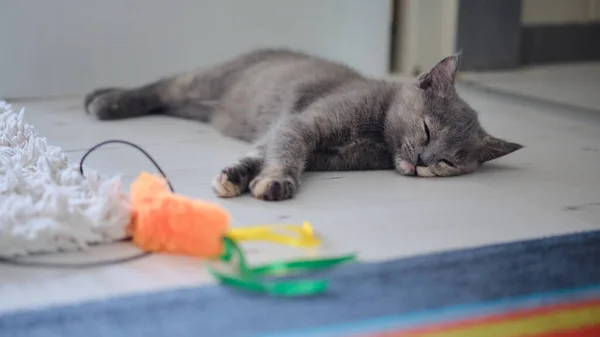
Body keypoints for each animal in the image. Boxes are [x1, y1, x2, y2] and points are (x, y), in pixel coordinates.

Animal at [84, 47, 520, 200]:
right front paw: (276, 181)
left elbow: (267, 153)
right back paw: (105, 101)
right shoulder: (303, 123)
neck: (378, 138)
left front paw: (241, 177)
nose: (424, 162)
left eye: (448, 163)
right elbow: (286, 150)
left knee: (169, 98)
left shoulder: (307, 146)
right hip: (208, 80)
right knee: (162, 84)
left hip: (202, 107)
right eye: (427, 129)